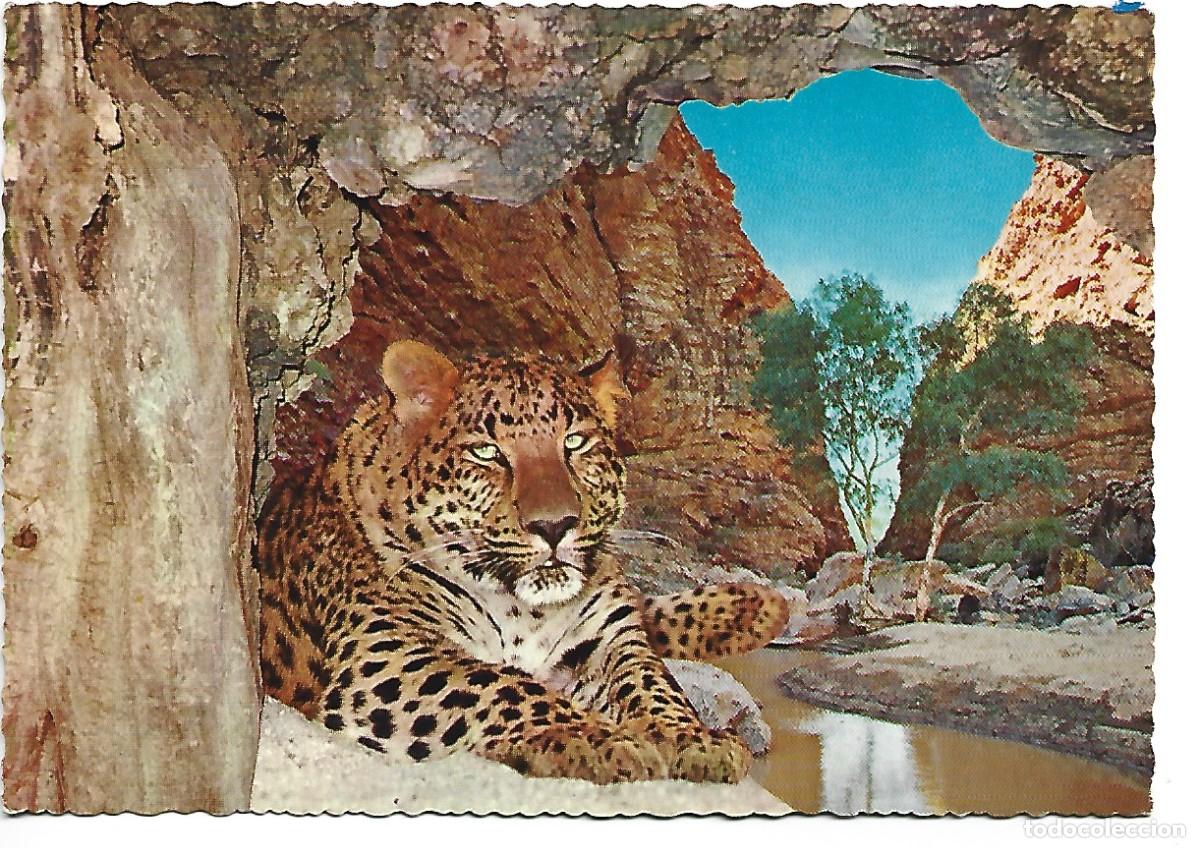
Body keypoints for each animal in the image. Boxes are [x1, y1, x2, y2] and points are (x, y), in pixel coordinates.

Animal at [256, 339, 790, 784]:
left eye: (574, 443)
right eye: (487, 453)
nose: (555, 526)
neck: (525, 610)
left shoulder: (611, 638)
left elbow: (652, 680)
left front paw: (693, 738)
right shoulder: (387, 650)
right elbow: (502, 683)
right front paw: (598, 739)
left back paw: (756, 606)